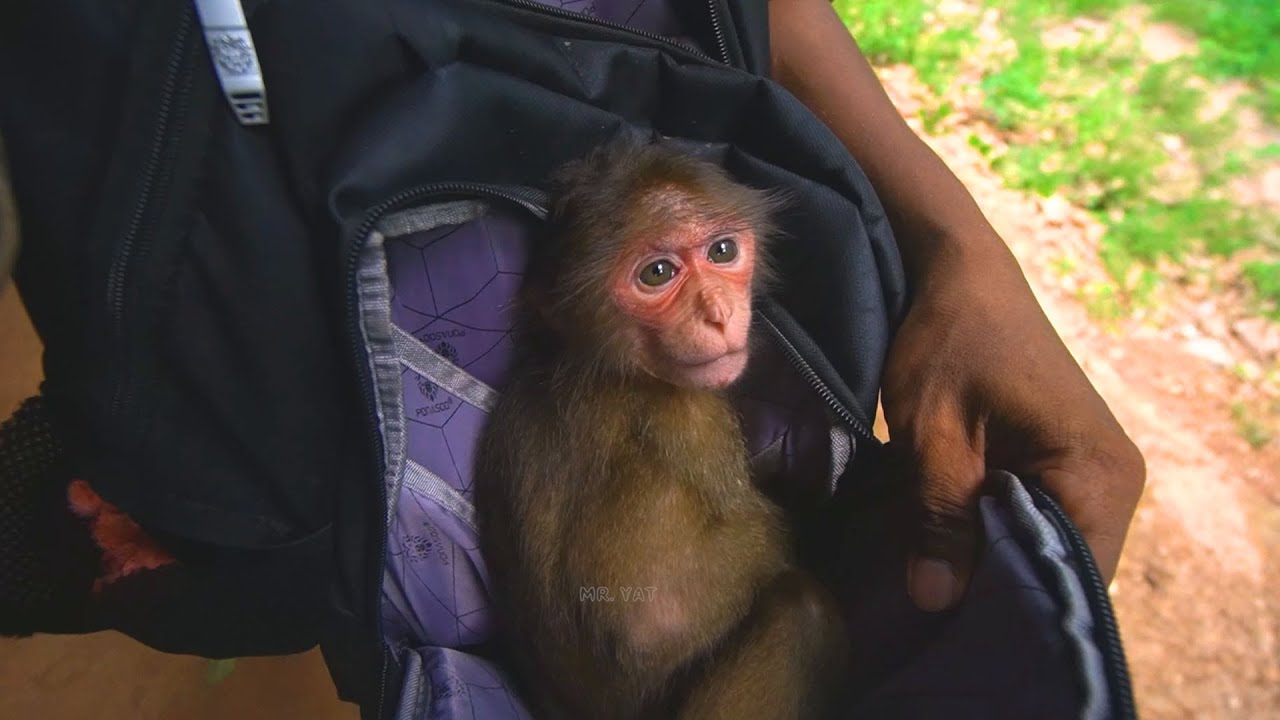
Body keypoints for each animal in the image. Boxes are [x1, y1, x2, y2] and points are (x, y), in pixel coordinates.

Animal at [474, 139, 850, 720]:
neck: (606, 366)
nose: (719, 314)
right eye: (656, 274)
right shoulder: (695, 420)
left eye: (723, 251)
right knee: (804, 612)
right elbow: (653, 623)